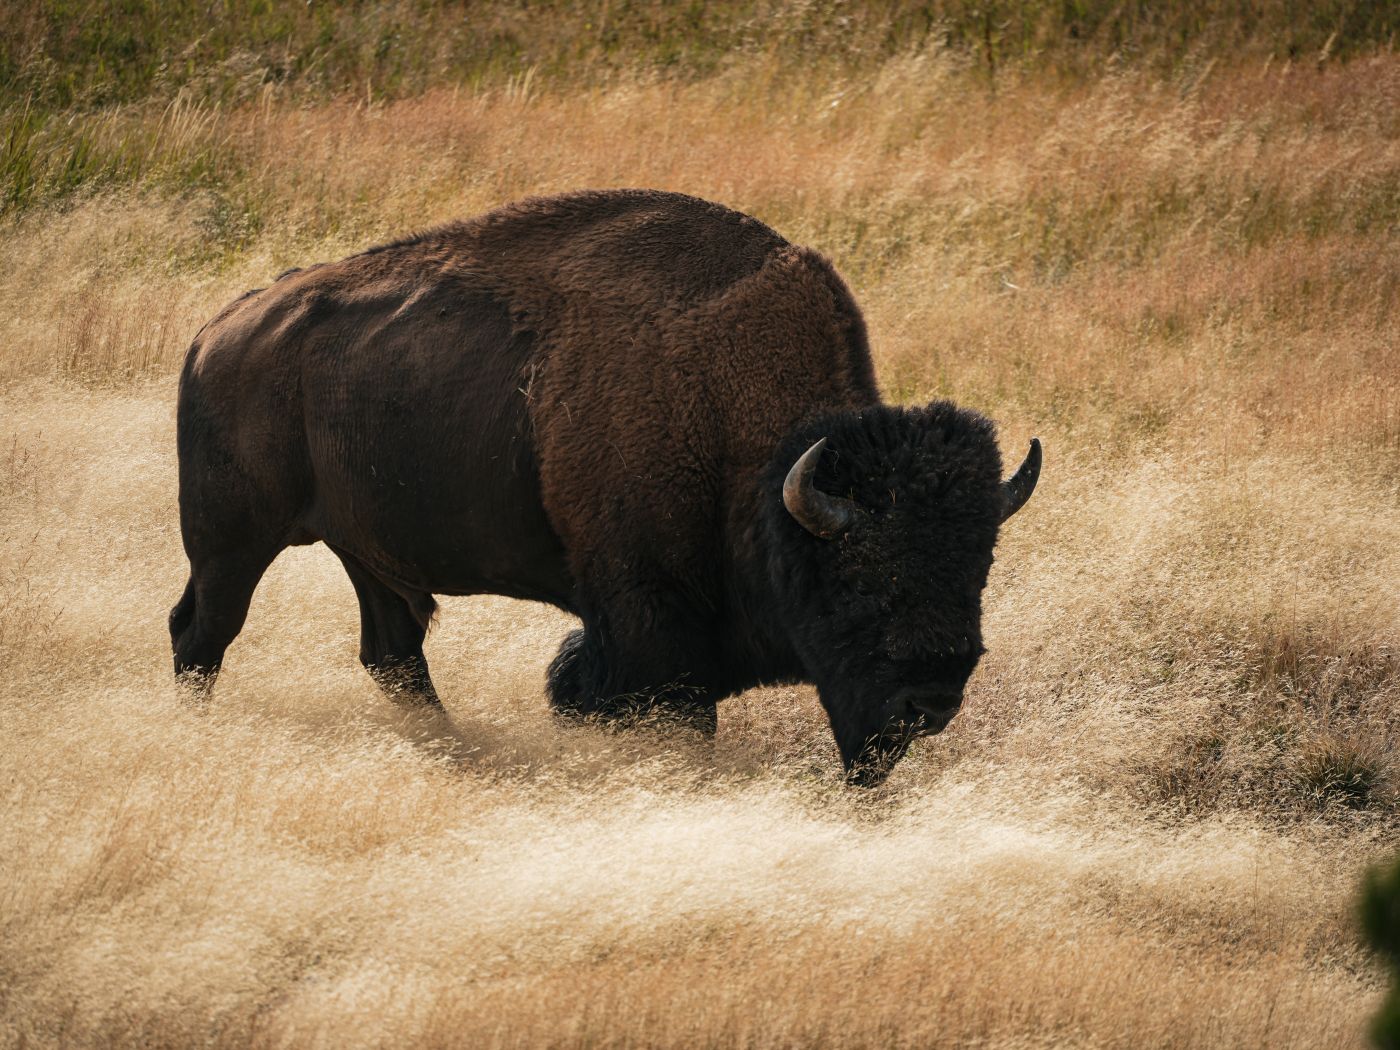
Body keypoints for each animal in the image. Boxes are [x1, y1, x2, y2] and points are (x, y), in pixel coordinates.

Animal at [171, 189, 1039, 785]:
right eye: (860, 579)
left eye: (979, 569)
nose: (932, 701)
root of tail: (220, 329)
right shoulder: (647, 619)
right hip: (231, 538)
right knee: (201, 630)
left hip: (369, 552)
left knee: (393, 653)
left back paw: (456, 751)